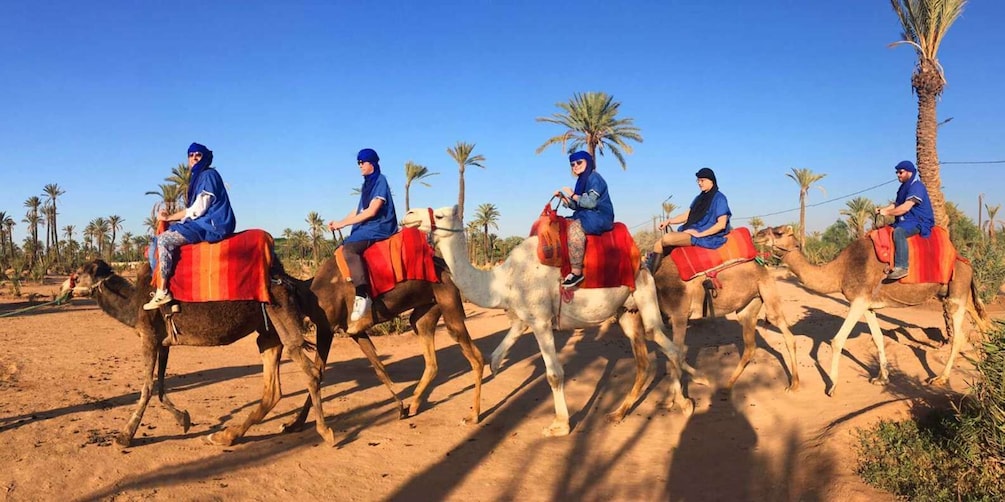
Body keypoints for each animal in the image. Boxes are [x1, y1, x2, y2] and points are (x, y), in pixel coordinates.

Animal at [64, 259, 337, 447]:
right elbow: (160, 386)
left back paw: (323, 432)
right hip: (267, 331)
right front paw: (183, 419)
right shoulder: (164, 342)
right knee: (273, 388)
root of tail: (291, 281)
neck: (134, 303)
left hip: (279, 311)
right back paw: (226, 436)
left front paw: (124, 436)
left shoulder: (149, 338)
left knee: (309, 370)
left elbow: (147, 388)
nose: (65, 287)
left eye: (78, 273)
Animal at [283, 255, 486, 427]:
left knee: (476, 357)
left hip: (448, 302)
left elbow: (317, 373)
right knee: (430, 357)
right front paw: (294, 424)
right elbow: (377, 368)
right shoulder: (353, 332)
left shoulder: (327, 327)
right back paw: (414, 405)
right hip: (426, 311)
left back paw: (473, 416)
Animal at [404, 205, 695, 437]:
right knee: (648, 357)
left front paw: (560, 425)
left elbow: (554, 374)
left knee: (665, 342)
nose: (409, 215)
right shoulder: (524, 317)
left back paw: (687, 399)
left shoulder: (542, 320)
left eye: (439, 215)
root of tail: (642, 260)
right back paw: (620, 412)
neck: (503, 280)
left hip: (644, 290)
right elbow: (494, 358)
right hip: (626, 310)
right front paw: (473, 413)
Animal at [631, 246, 804, 391]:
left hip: (767, 290)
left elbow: (676, 351)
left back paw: (794, 385)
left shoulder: (679, 314)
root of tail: (763, 264)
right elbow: (672, 352)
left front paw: (680, 398)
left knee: (786, 333)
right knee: (750, 346)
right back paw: (728, 384)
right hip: (749, 306)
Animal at [755, 224, 988, 395]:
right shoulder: (868, 306)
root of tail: (966, 262)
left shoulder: (858, 300)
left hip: (956, 292)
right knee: (977, 317)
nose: (757, 234)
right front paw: (881, 378)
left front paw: (832, 386)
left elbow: (837, 340)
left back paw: (941, 378)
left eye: (778, 232)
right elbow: (877, 339)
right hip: (951, 293)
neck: (839, 271)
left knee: (959, 336)